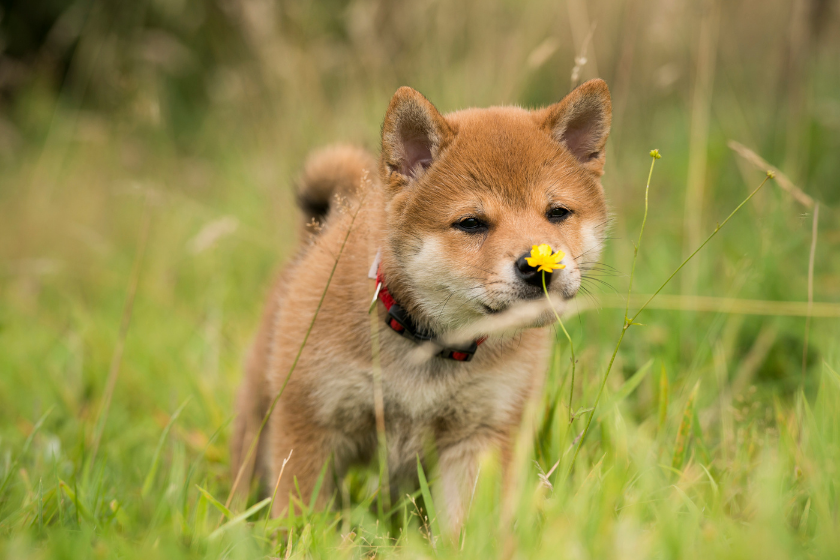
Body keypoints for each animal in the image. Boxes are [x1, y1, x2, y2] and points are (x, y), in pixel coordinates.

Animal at [230, 79, 612, 528]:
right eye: (471, 223)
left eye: (557, 213)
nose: (539, 267)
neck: (428, 343)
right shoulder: (309, 425)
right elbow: (301, 518)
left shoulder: (481, 432)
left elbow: (467, 526)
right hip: (258, 421)